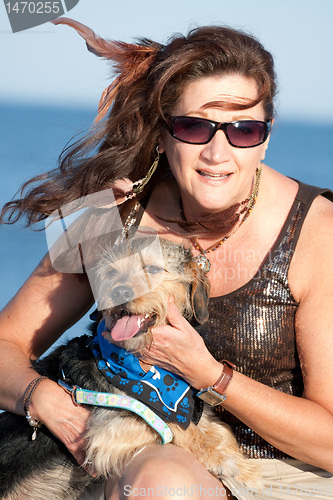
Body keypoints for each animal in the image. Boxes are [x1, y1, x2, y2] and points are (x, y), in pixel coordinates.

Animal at [0, 235, 258, 500]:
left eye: (152, 269)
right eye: (111, 272)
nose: (119, 291)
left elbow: (218, 428)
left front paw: (243, 466)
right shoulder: (107, 429)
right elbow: (167, 422)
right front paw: (219, 457)